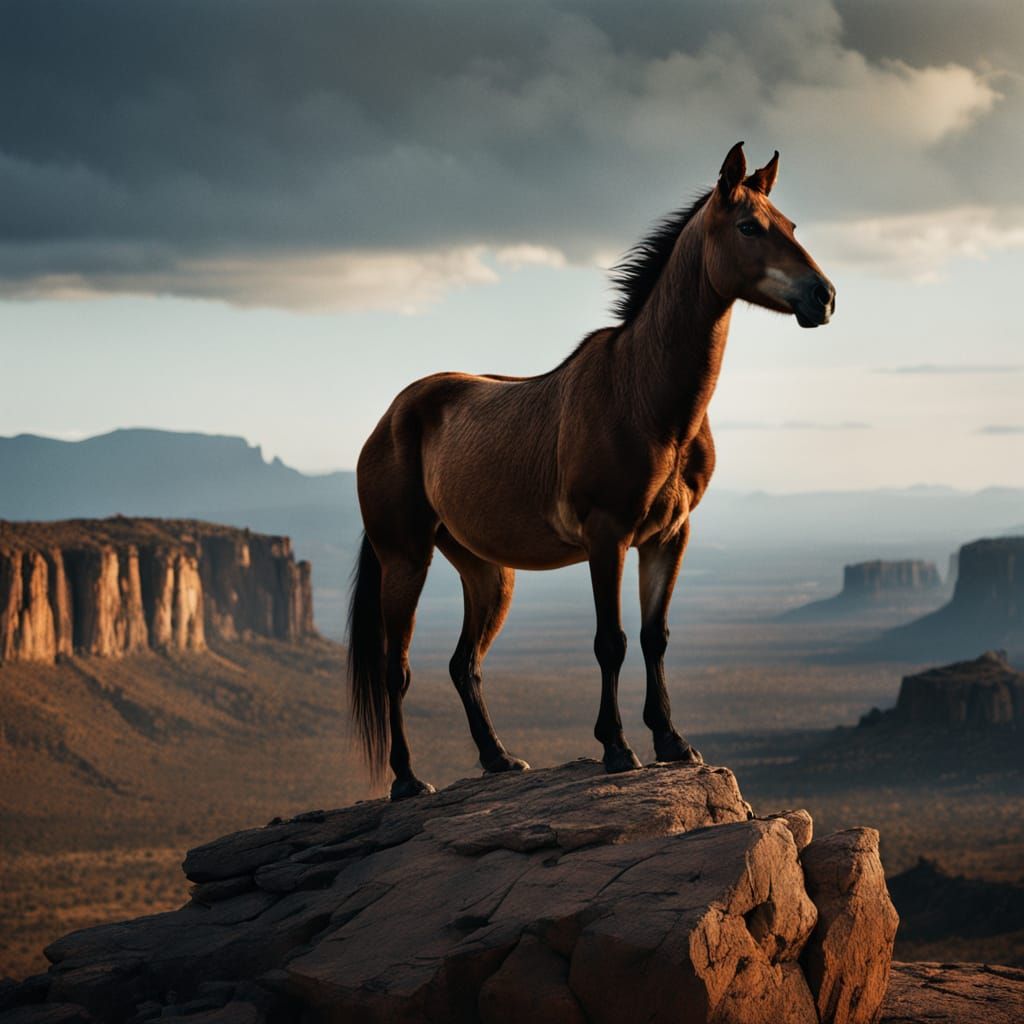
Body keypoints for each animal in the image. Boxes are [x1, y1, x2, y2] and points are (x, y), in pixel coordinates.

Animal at [348, 142, 836, 799]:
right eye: (749, 227)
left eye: (791, 226)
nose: (823, 297)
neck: (647, 398)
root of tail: (391, 417)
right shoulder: (608, 536)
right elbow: (613, 641)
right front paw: (617, 748)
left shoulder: (669, 537)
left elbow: (655, 636)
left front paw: (672, 741)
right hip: (405, 557)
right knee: (394, 668)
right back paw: (407, 781)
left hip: (485, 569)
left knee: (463, 663)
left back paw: (500, 759)